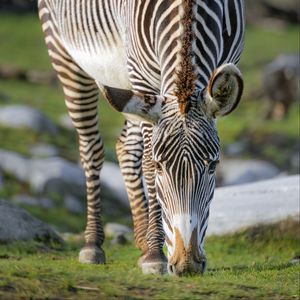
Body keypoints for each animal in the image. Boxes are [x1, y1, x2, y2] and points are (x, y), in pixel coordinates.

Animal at [38, 0, 244, 276]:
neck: (188, 12)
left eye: (213, 166)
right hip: (64, 53)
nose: (187, 265)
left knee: (125, 146)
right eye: (159, 167)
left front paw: (151, 247)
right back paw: (93, 244)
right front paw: (155, 255)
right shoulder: (143, 78)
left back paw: (141, 240)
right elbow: (145, 162)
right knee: (91, 148)